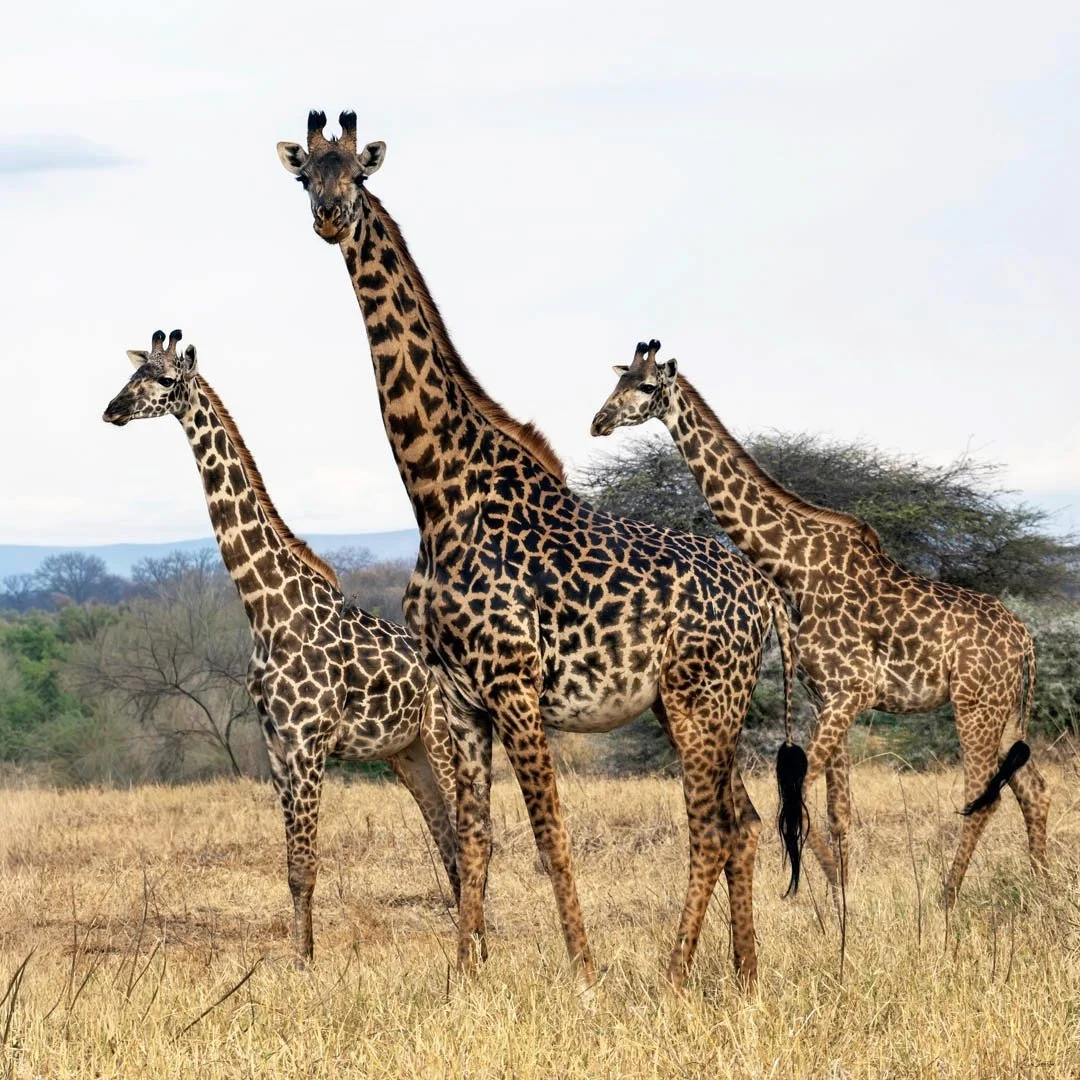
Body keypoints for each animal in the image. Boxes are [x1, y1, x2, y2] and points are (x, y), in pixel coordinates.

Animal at [102, 329, 460, 964]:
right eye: (132, 375)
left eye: (164, 380)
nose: (113, 410)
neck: (266, 610)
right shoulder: (274, 746)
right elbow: (291, 869)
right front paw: (300, 961)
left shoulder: (309, 742)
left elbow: (307, 866)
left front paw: (308, 964)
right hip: (407, 752)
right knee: (449, 842)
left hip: (444, 737)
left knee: (474, 837)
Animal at [277, 110, 807, 992]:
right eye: (302, 176)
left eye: (357, 174)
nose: (328, 218)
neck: (438, 493)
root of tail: (763, 595)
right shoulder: (460, 699)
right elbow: (475, 839)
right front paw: (463, 978)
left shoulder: (516, 686)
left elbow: (549, 831)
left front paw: (585, 973)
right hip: (696, 704)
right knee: (743, 820)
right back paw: (743, 974)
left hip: (702, 699)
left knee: (710, 826)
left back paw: (672, 974)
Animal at [591, 340, 1048, 906]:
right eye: (616, 381)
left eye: (647, 386)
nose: (599, 421)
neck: (795, 569)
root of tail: (1026, 639)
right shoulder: (826, 697)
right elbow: (837, 809)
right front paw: (842, 897)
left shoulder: (851, 693)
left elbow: (798, 794)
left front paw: (830, 893)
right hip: (1003, 710)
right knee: (1034, 788)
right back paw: (1041, 882)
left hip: (975, 706)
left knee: (985, 796)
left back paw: (947, 897)